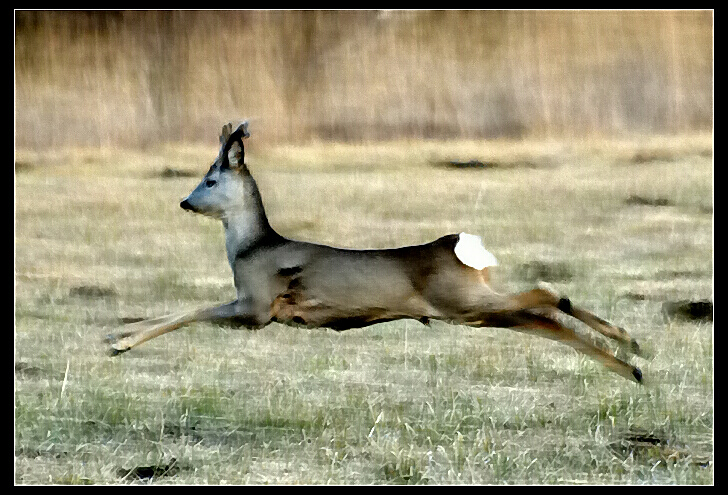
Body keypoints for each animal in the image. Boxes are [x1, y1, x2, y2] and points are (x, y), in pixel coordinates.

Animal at [106, 121, 644, 384]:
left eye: (211, 180)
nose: (184, 201)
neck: (251, 248)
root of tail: (454, 248)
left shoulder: (256, 307)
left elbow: (194, 310)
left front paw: (120, 342)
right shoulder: (254, 308)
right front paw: (114, 332)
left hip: (462, 301)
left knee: (546, 291)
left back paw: (630, 345)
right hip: (474, 308)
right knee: (547, 318)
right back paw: (634, 364)